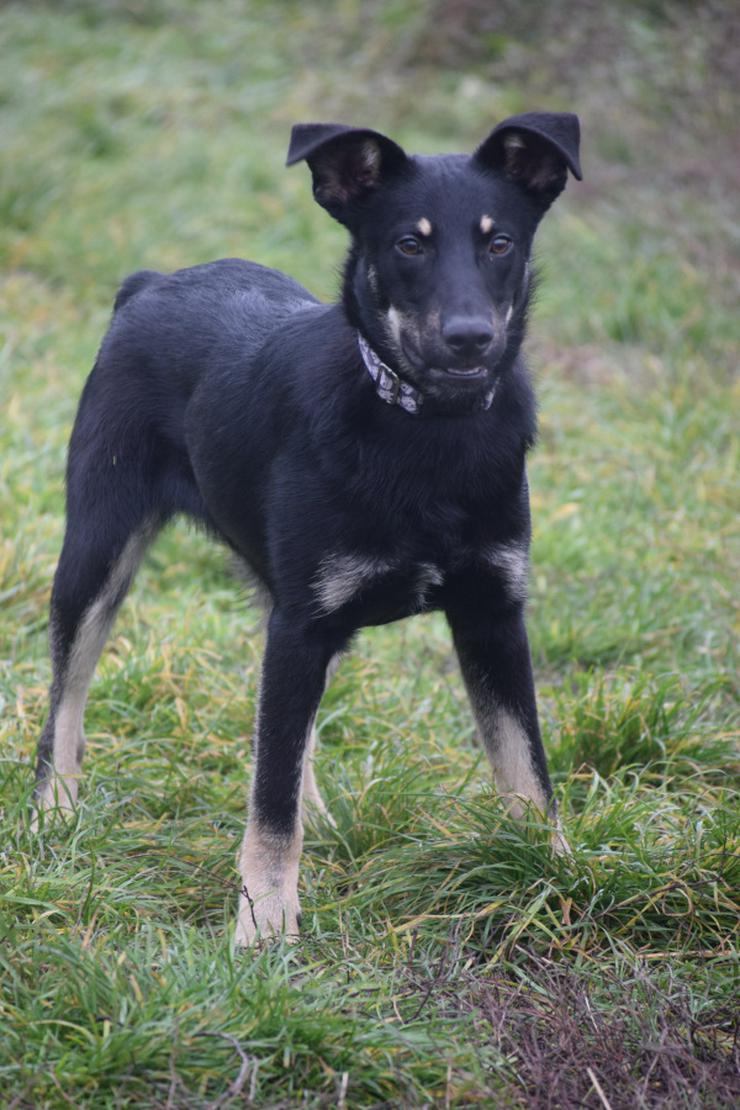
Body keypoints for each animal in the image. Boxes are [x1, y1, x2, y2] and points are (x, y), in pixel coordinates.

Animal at [34, 112, 581, 945]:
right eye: (409, 244)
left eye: (500, 244)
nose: (469, 338)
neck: (426, 430)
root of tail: (149, 285)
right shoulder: (302, 625)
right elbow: (270, 802)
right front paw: (263, 927)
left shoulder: (491, 611)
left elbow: (526, 766)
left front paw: (554, 877)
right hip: (98, 546)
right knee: (67, 692)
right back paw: (53, 811)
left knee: (289, 738)